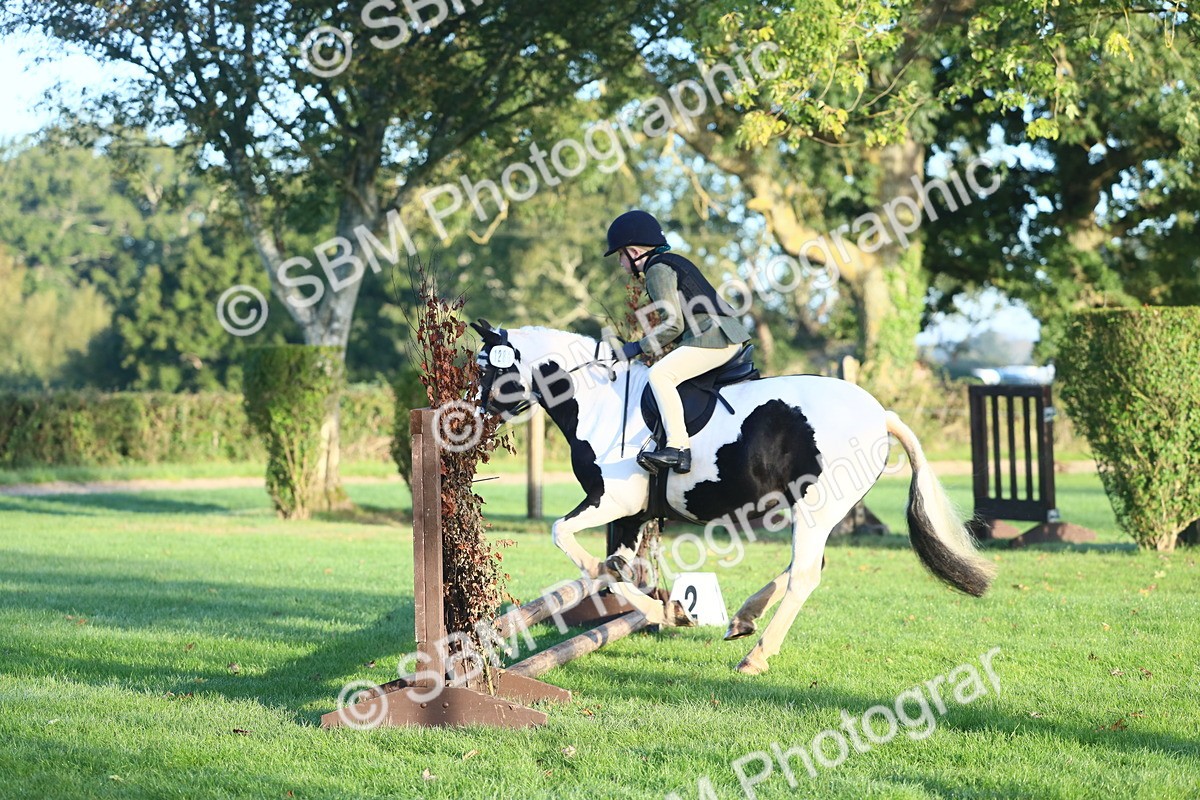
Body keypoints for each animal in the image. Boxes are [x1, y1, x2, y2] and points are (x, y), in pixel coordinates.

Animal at [470, 321, 995, 675]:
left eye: (491, 370)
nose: (470, 419)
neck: (598, 402)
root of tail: (880, 414)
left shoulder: (613, 501)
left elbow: (568, 539)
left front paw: (660, 610)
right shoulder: (632, 513)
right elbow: (614, 572)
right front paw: (666, 611)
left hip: (816, 505)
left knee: (805, 574)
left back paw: (755, 655)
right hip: (814, 509)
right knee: (806, 567)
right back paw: (743, 619)